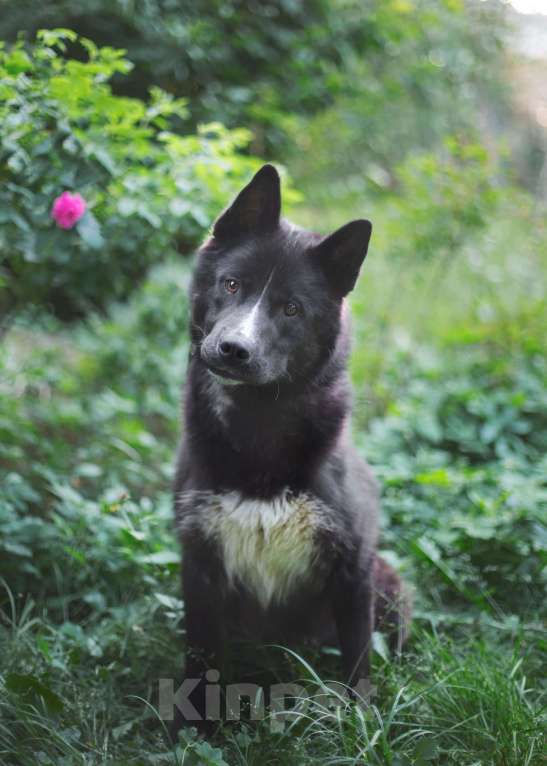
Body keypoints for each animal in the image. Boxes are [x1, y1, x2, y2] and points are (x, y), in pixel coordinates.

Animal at [173, 165, 408, 728]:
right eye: (231, 283)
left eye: (292, 309)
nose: (233, 350)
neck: (258, 424)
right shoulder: (199, 564)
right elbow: (200, 660)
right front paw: (193, 730)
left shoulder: (353, 569)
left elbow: (357, 661)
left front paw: (359, 725)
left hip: (390, 585)